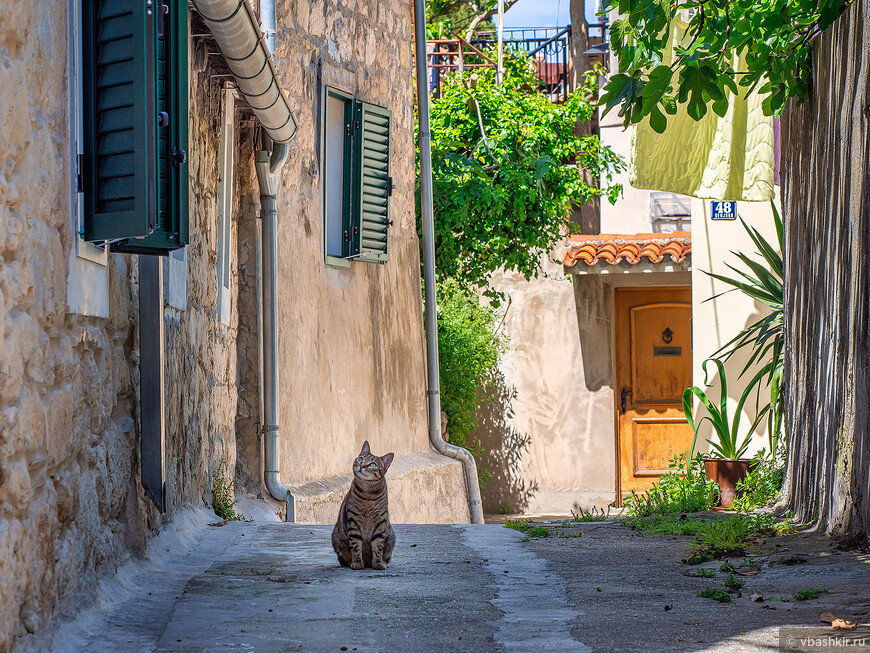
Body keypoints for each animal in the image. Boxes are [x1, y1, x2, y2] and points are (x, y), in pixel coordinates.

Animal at [332, 440, 396, 568]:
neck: (368, 495)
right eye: (361, 459)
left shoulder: (380, 522)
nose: (361, 466)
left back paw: (382, 562)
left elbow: (378, 545)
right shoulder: (353, 521)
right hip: (336, 539)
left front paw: (378, 563)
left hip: (392, 538)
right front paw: (357, 563)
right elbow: (356, 545)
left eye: (372, 465)